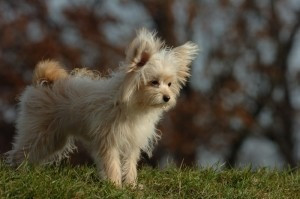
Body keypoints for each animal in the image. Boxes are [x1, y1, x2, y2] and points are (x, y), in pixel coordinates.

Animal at [5, 28, 198, 187]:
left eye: (170, 84)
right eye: (154, 82)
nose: (167, 98)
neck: (133, 106)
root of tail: (41, 81)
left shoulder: (131, 143)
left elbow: (130, 165)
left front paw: (131, 186)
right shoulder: (108, 141)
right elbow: (112, 165)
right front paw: (115, 186)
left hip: (54, 139)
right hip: (40, 132)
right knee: (20, 153)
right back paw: (18, 174)